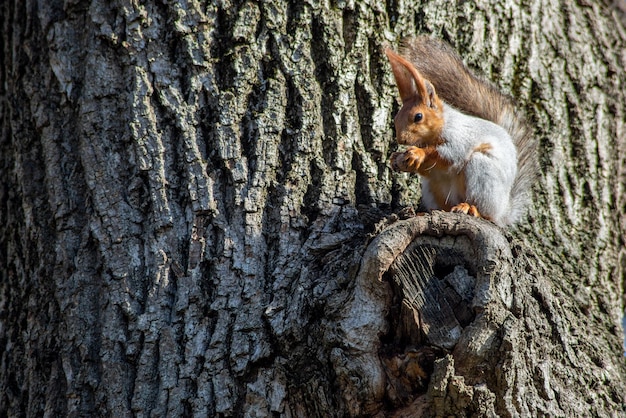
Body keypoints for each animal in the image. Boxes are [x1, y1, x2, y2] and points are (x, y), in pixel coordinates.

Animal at [382, 36, 532, 227]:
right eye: (395, 118)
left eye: (418, 116)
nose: (401, 139)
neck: (441, 126)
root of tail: (503, 211)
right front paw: (396, 158)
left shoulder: (459, 137)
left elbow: (449, 154)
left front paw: (417, 154)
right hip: (432, 189)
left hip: (482, 174)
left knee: (485, 213)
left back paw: (470, 208)